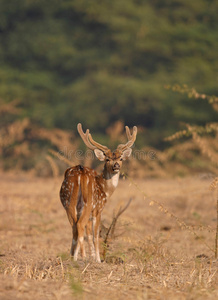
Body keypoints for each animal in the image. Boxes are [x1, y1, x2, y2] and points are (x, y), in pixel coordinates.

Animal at [59, 123, 137, 262]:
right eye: (107, 159)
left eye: (121, 158)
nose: (116, 165)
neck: (105, 190)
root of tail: (80, 173)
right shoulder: (98, 209)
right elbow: (95, 235)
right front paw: (97, 260)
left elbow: (89, 234)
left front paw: (89, 257)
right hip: (88, 203)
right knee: (79, 226)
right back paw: (78, 258)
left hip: (68, 202)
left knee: (74, 227)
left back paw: (73, 257)